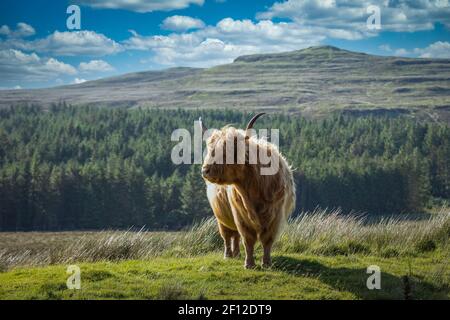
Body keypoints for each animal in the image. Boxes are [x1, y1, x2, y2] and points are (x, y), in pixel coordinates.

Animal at [201, 114, 296, 268]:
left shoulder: (275, 216)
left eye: (229, 152)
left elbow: (267, 240)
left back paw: (237, 254)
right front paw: (249, 264)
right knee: (227, 235)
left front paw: (266, 263)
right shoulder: (240, 216)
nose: (205, 170)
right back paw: (228, 255)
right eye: (210, 150)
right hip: (222, 218)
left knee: (235, 236)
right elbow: (248, 240)